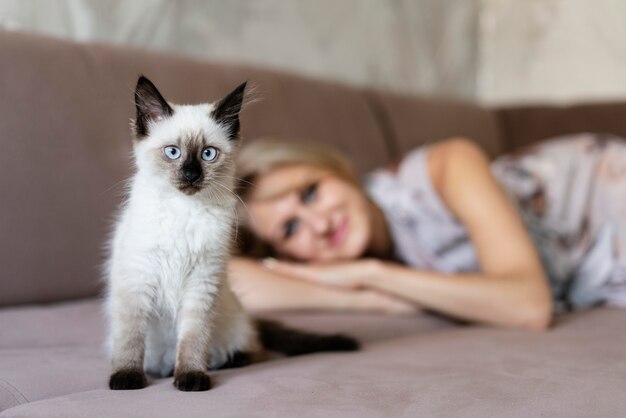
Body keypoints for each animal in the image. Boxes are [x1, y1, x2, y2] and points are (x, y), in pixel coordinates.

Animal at [105, 76, 354, 392]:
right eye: (173, 152)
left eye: (208, 154)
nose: (191, 175)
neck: (185, 212)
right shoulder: (137, 283)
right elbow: (130, 339)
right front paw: (127, 378)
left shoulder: (202, 284)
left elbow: (192, 339)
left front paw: (190, 378)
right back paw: (162, 371)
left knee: (253, 349)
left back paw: (218, 362)